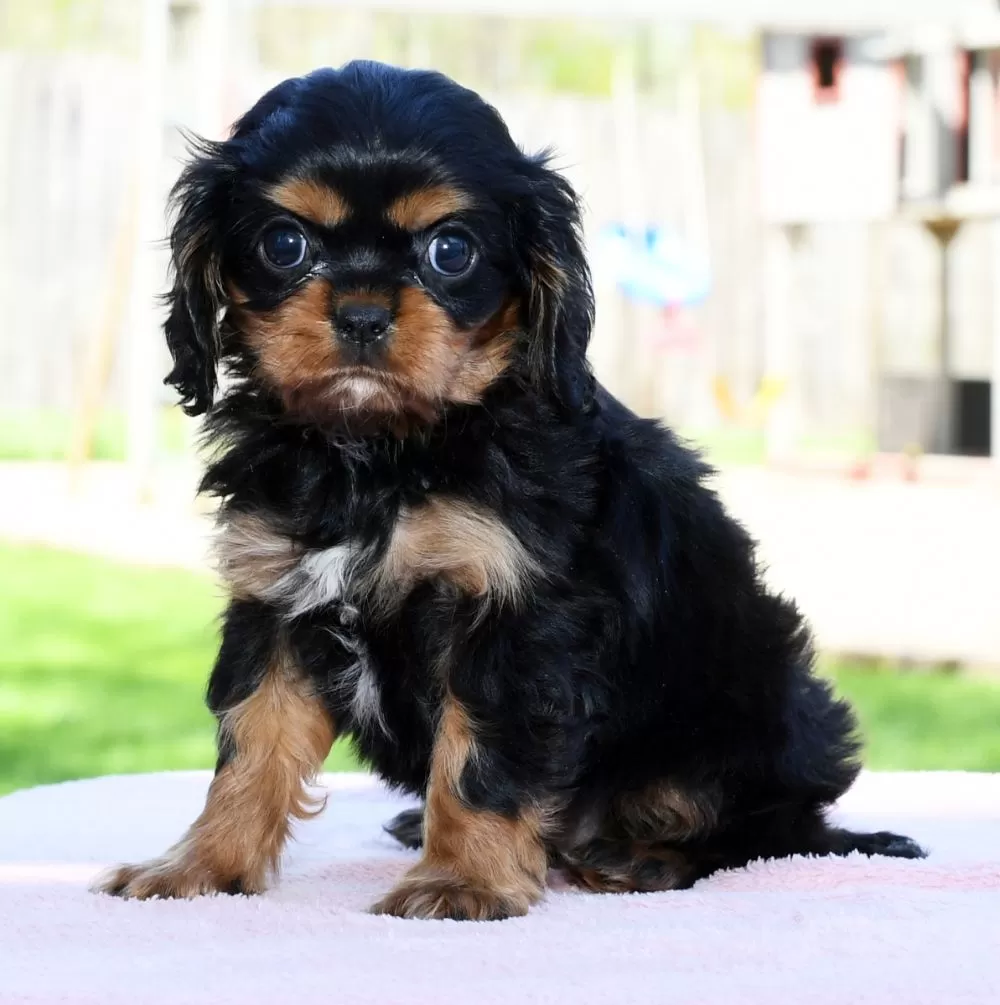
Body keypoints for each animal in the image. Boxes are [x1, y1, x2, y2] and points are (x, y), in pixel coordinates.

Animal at [95, 60, 924, 920]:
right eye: (284, 244)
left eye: (450, 251)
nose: (361, 313)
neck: (381, 451)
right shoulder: (277, 600)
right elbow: (252, 742)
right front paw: (203, 866)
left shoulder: (514, 613)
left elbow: (481, 758)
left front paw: (462, 879)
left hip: (753, 707)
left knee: (768, 825)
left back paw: (642, 856)